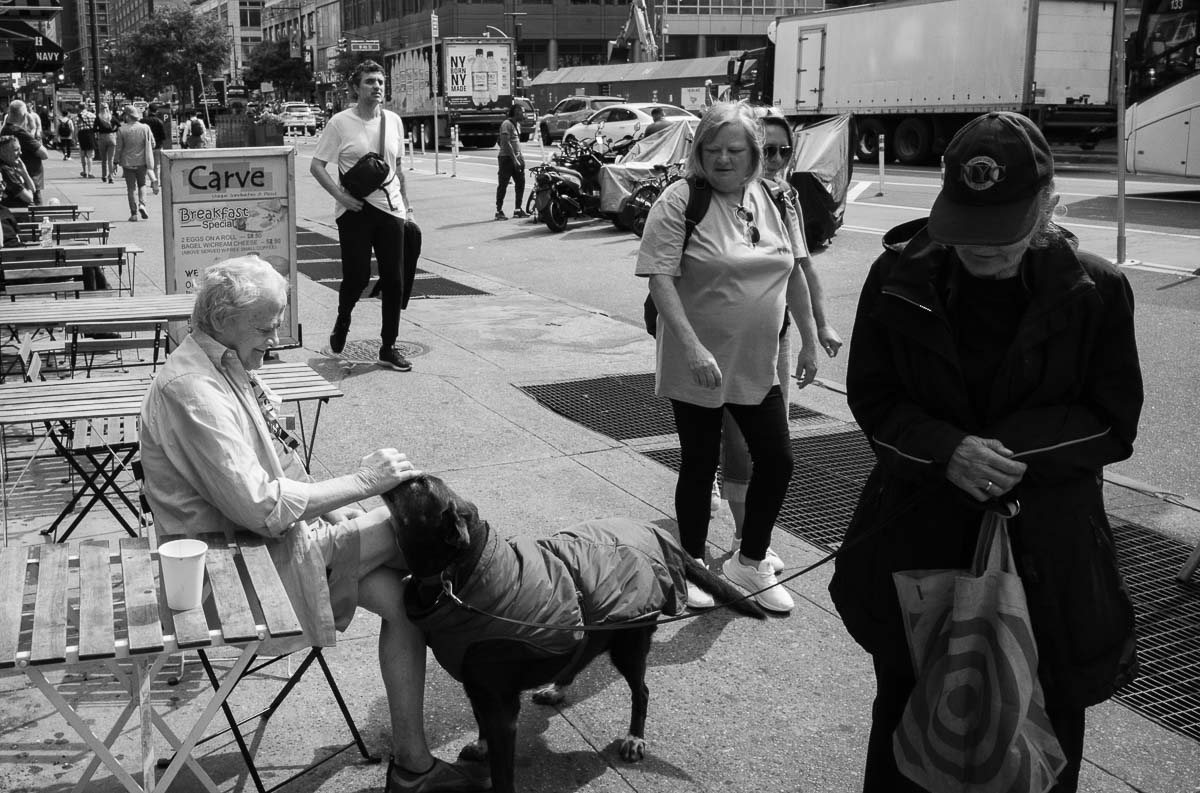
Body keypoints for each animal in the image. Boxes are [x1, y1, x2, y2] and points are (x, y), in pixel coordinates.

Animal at [379, 477, 763, 791]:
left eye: (420, 484)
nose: (394, 469)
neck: (463, 574)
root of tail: (658, 535)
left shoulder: (500, 704)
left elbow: (502, 771)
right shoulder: (477, 686)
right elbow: (480, 723)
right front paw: (481, 746)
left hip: (630, 641)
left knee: (641, 691)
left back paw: (634, 738)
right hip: (590, 627)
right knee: (583, 653)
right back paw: (557, 687)